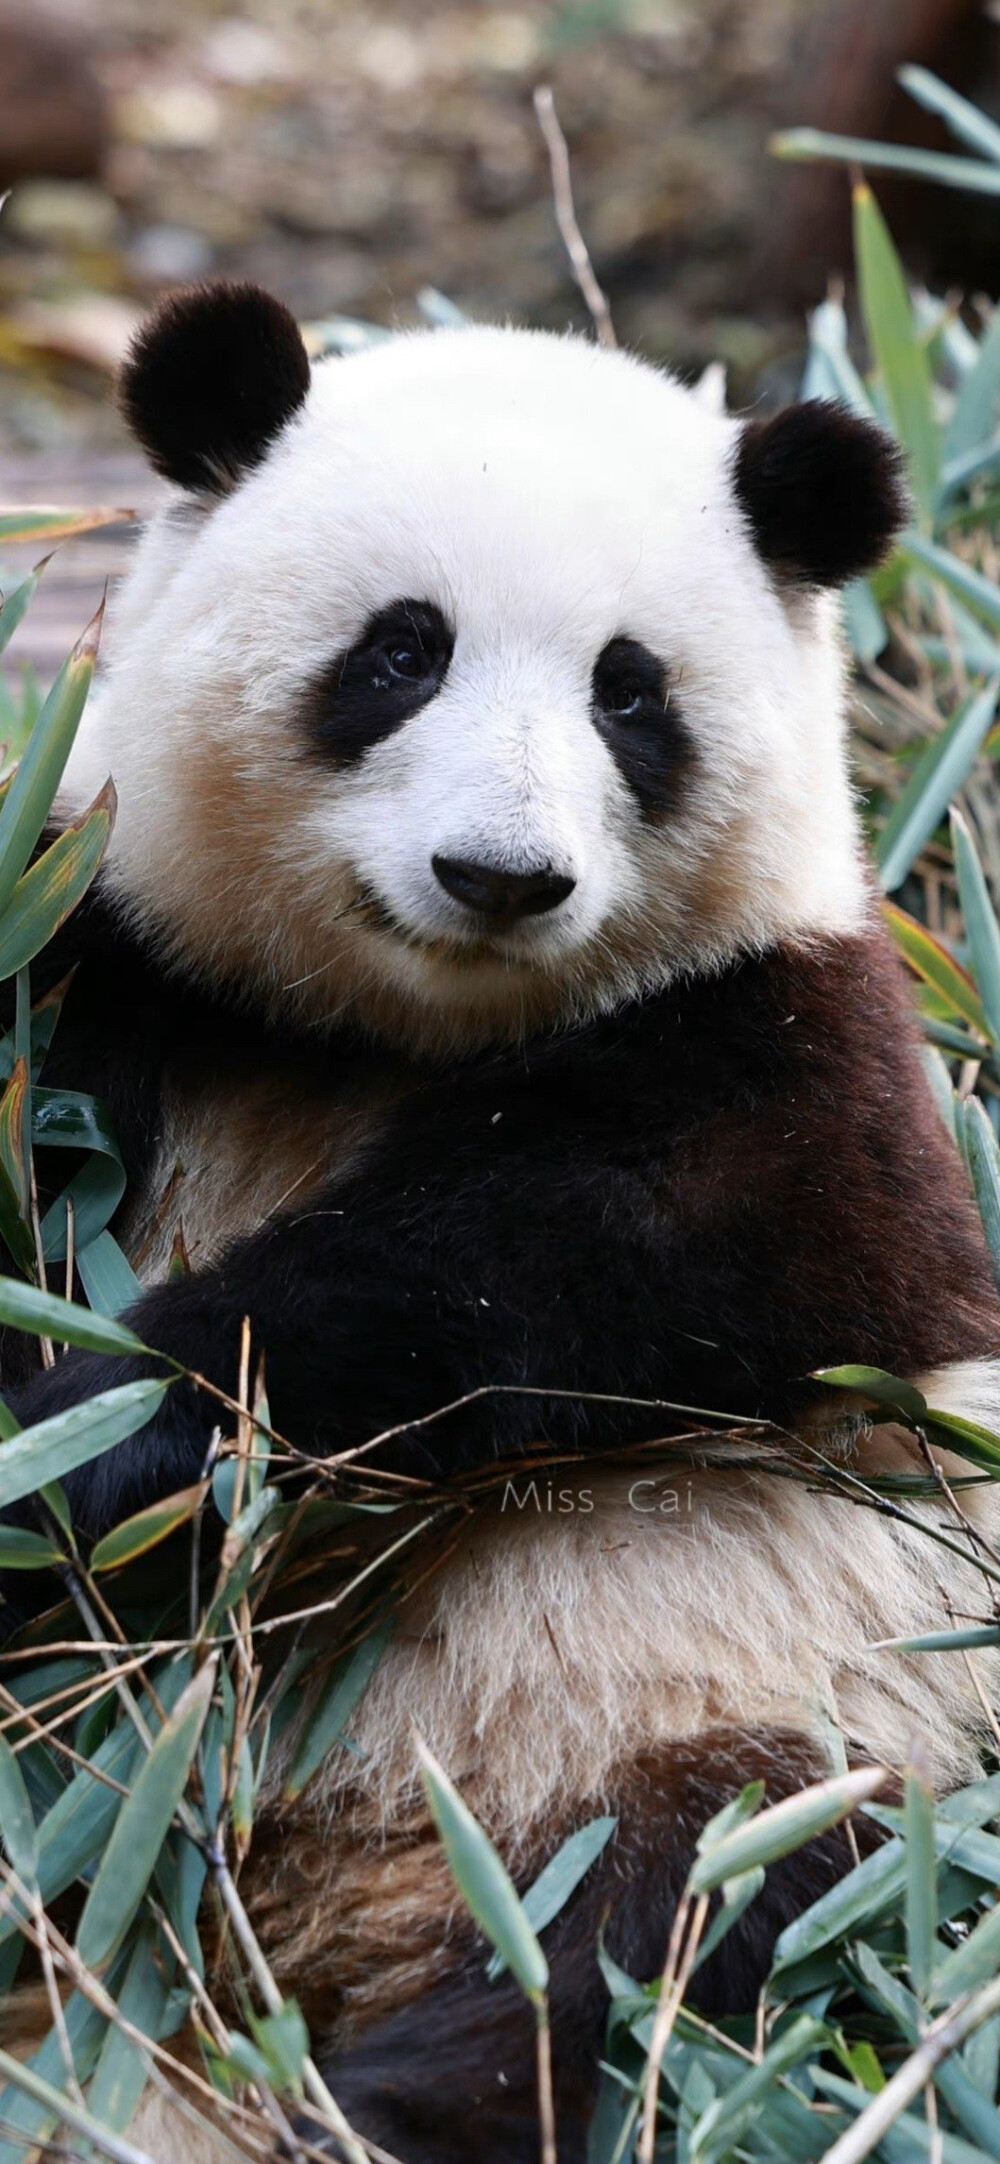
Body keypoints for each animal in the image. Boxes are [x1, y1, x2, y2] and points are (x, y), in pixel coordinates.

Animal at [1, 287, 1000, 2164]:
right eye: (400, 652)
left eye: (630, 691)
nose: (502, 876)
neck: (389, 1028)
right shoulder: (106, 953)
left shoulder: (800, 1041)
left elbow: (616, 1253)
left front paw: (104, 1432)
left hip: (802, 1722)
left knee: (661, 1938)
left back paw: (374, 2102)